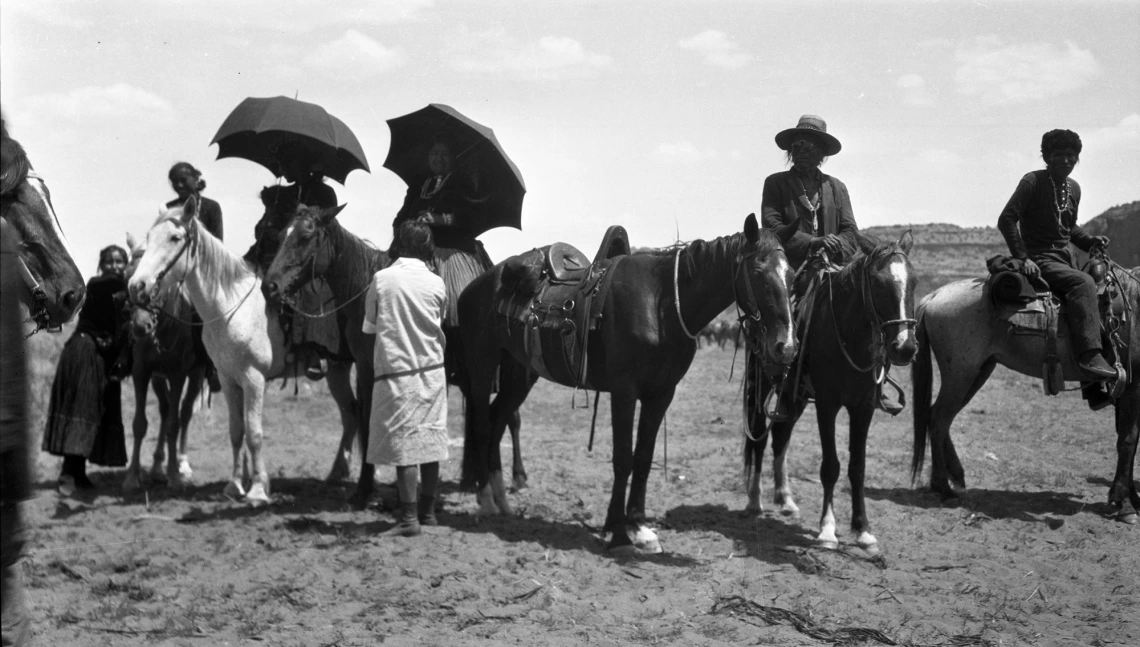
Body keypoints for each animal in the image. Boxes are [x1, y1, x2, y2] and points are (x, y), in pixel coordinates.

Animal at [128, 195, 289, 505]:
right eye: (149, 237)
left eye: (175, 237)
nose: (137, 285)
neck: (229, 307)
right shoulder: (228, 378)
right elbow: (237, 430)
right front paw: (235, 485)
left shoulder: (254, 379)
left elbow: (254, 433)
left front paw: (258, 490)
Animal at [262, 205, 524, 508]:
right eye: (281, 235)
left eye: (305, 237)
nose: (270, 286)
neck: (365, 288)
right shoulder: (366, 367)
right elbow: (366, 419)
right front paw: (365, 490)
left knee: (504, 418)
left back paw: (509, 480)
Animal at [453, 216, 793, 551]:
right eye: (759, 273)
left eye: (790, 275)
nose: (785, 347)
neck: (661, 304)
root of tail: (475, 287)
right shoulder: (624, 392)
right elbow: (623, 458)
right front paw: (618, 531)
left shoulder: (660, 395)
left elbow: (643, 457)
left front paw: (638, 526)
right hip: (483, 365)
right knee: (482, 425)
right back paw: (485, 500)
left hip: (519, 371)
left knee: (498, 419)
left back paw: (502, 502)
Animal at [743, 232, 921, 555]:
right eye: (879, 283)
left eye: (914, 282)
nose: (905, 347)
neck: (850, 337)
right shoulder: (827, 405)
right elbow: (830, 467)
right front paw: (827, 530)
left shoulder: (863, 408)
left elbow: (857, 467)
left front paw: (863, 531)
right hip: (760, 392)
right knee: (760, 441)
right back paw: (754, 501)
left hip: (794, 398)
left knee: (781, 439)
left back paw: (785, 499)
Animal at [912, 255, 1140, 523]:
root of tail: (934, 296)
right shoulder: (1132, 386)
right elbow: (1128, 440)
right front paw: (1125, 504)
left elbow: (1128, 439)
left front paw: (1130, 497)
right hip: (960, 374)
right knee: (939, 419)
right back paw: (943, 487)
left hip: (978, 372)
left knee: (938, 417)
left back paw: (955, 476)